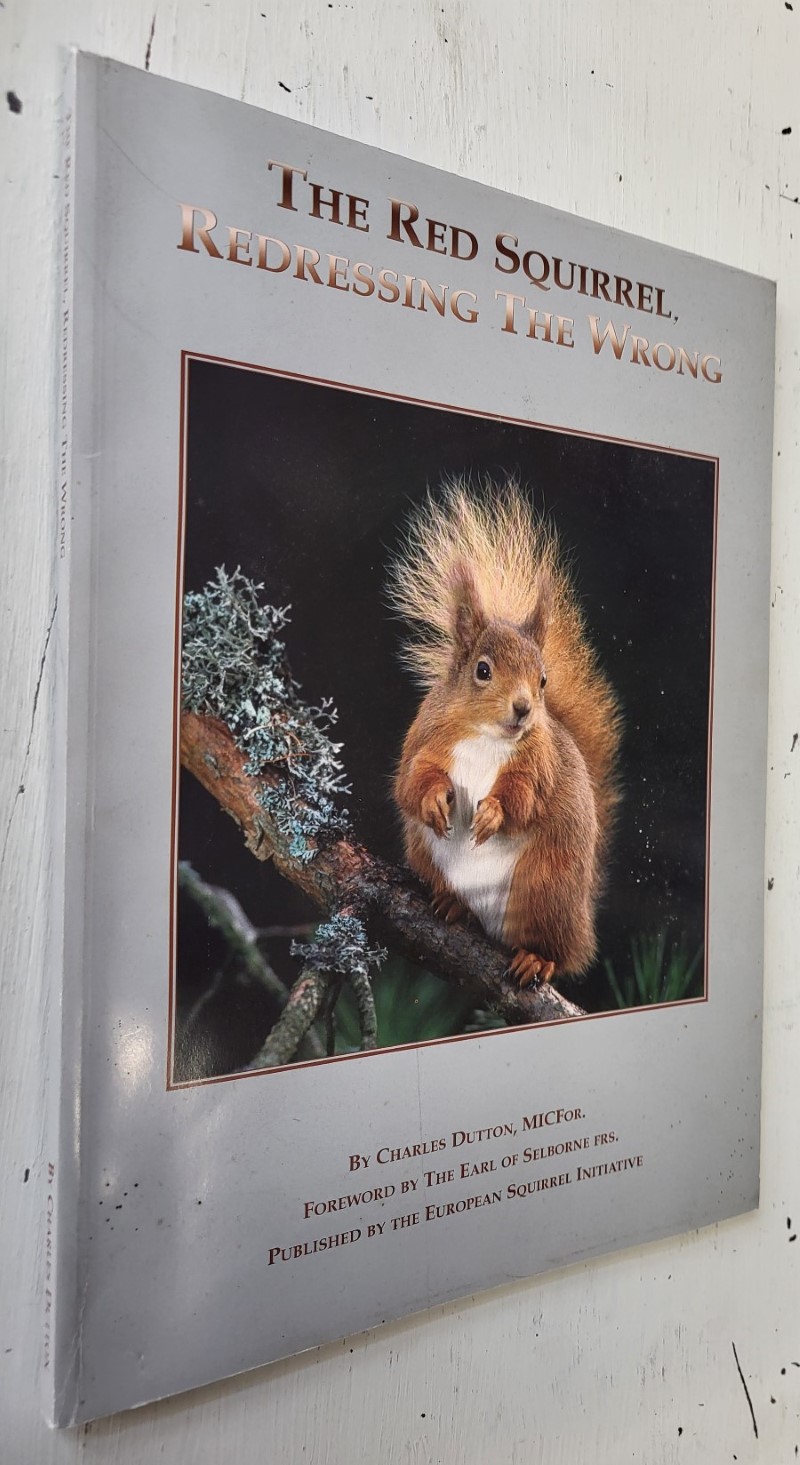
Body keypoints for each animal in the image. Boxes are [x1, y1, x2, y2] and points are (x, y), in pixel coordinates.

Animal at [387, 480, 621, 988]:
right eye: (482, 670)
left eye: (543, 679)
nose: (524, 709)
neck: (485, 736)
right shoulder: (424, 740)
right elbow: (410, 782)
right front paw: (433, 799)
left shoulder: (538, 763)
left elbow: (524, 796)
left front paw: (494, 813)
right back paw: (453, 905)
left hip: (546, 890)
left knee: (558, 950)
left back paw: (537, 958)